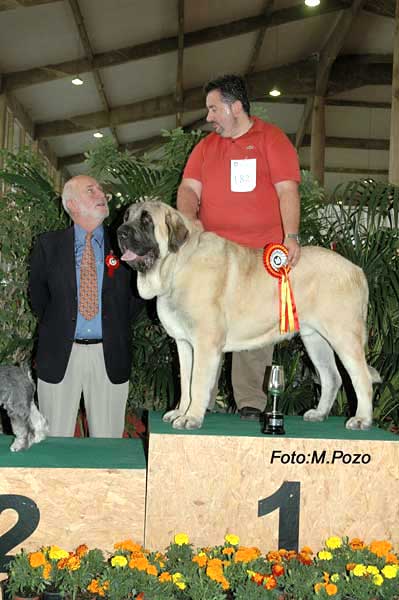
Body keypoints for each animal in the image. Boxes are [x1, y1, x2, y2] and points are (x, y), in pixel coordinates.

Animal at [117, 202, 380, 432]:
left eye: (147, 221)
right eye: (126, 217)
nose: (120, 232)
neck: (176, 265)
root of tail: (357, 269)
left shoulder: (205, 343)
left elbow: (197, 382)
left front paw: (191, 418)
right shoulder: (183, 344)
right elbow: (185, 383)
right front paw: (180, 412)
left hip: (344, 336)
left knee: (362, 378)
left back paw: (361, 420)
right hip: (315, 339)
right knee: (331, 377)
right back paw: (319, 413)